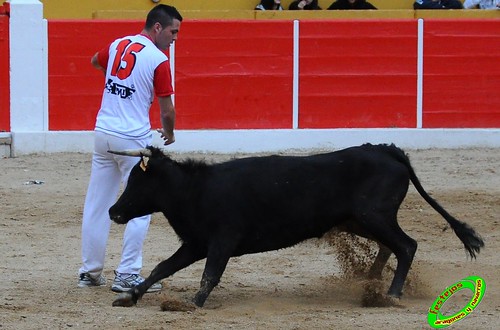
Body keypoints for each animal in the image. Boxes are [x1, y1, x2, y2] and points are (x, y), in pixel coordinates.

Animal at [108, 143, 484, 308]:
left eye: (137, 184)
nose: (114, 211)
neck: (194, 189)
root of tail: (387, 150)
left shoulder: (221, 242)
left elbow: (209, 274)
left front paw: (193, 303)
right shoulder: (195, 243)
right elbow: (162, 267)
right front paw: (130, 295)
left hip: (374, 216)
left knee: (406, 245)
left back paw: (390, 294)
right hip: (360, 220)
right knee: (389, 245)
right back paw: (371, 283)